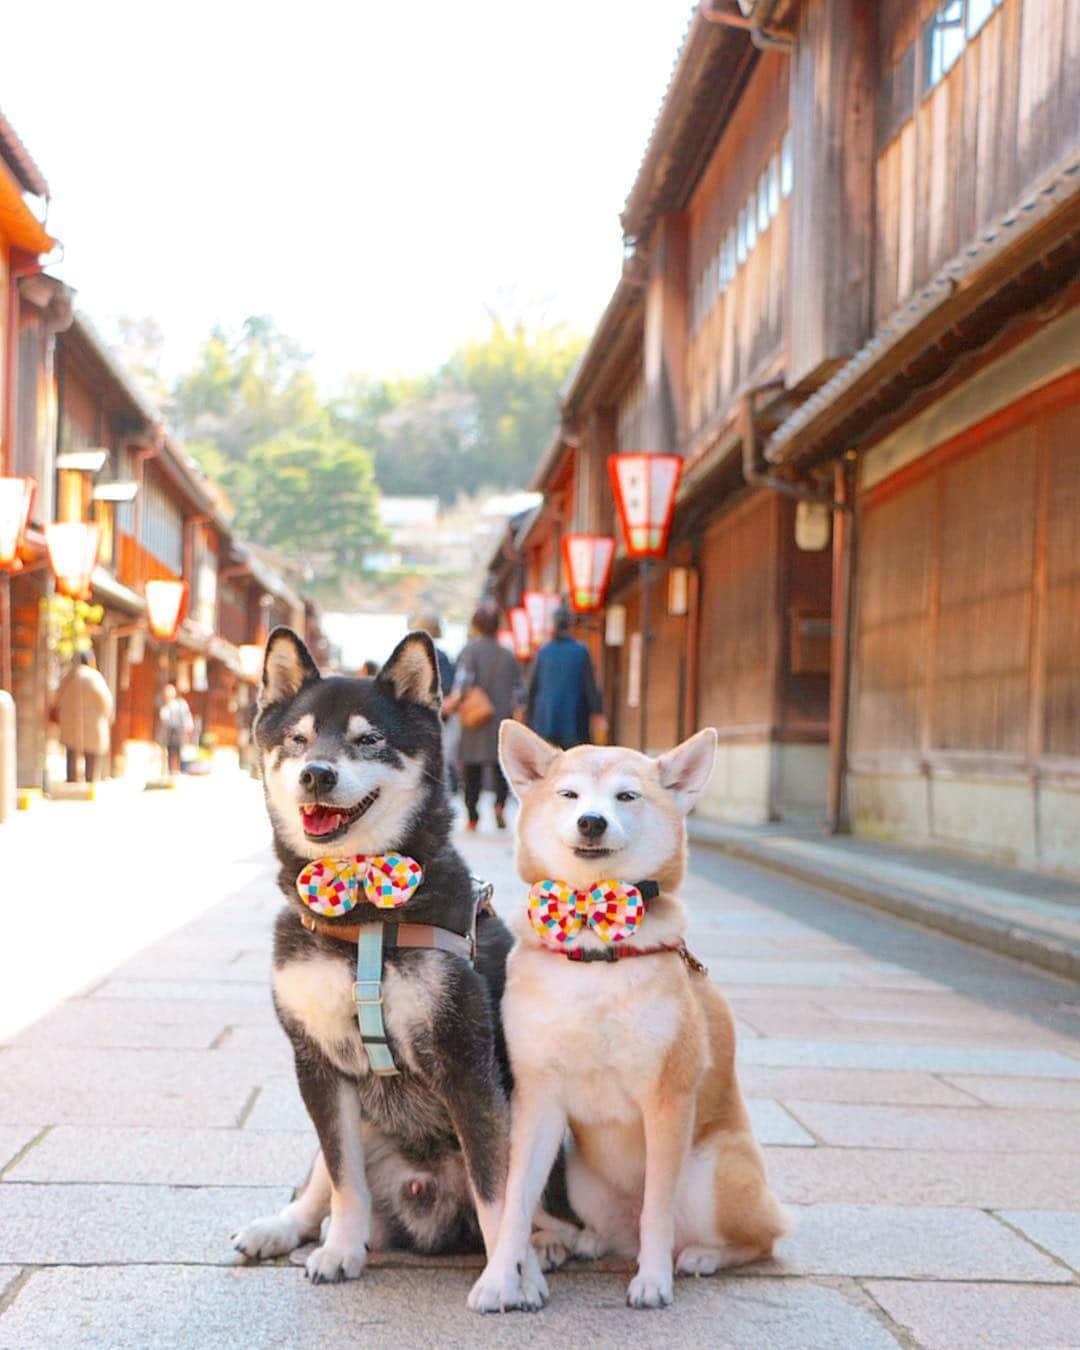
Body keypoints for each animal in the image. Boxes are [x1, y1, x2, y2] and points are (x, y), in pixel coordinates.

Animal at [230, 626, 515, 1279]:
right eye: (299, 739)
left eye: (368, 740)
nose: (317, 774)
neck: (361, 906)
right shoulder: (317, 1063)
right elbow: (343, 1180)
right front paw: (341, 1249)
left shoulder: (468, 1063)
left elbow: (496, 1187)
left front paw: (508, 1278)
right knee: (319, 1178)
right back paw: (282, 1227)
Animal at [469, 723, 783, 1312]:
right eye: (569, 795)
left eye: (626, 796)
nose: (592, 821)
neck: (595, 942)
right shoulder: (538, 1098)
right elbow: (515, 1204)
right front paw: (501, 1279)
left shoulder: (667, 1099)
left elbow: (656, 1210)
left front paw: (653, 1281)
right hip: (578, 1174)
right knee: (616, 1232)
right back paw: (581, 1242)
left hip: (713, 1172)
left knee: (760, 1238)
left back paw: (701, 1255)